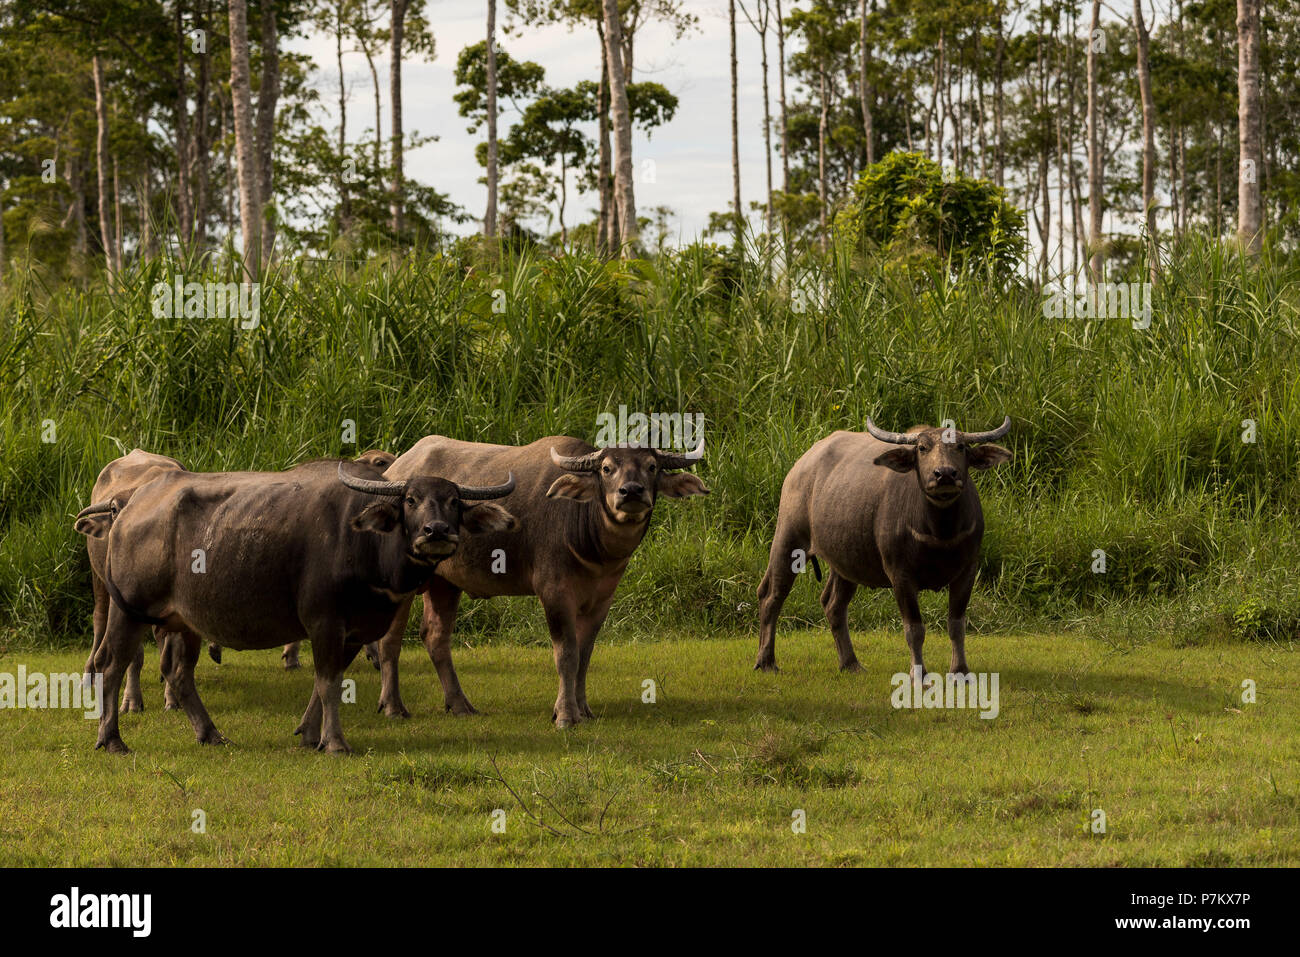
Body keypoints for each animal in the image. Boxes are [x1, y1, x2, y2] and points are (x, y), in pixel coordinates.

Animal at [73, 462, 514, 754]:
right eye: (411, 499)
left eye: (454, 501)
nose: (436, 532)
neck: (366, 543)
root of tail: (129, 505)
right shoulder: (324, 622)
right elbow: (330, 683)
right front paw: (335, 742)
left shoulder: (353, 632)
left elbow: (324, 684)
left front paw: (309, 733)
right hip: (127, 608)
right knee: (112, 664)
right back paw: (111, 739)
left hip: (185, 622)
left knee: (179, 674)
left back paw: (211, 734)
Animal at [371, 436, 707, 728]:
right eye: (607, 468)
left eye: (651, 466)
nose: (631, 491)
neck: (592, 542)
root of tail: (396, 470)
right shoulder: (554, 593)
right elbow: (567, 654)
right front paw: (565, 715)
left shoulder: (602, 600)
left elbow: (585, 654)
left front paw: (583, 709)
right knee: (390, 640)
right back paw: (393, 707)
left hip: (444, 582)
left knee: (435, 636)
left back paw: (460, 705)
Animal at [754, 418, 1013, 681]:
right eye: (922, 448)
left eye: (960, 446)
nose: (945, 474)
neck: (939, 533)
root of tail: (801, 465)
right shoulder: (900, 575)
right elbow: (914, 629)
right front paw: (918, 674)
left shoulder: (967, 571)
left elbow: (957, 626)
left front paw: (960, 671)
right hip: (788, 538)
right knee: (771, 595)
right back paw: (766, 662)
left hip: (846, 561)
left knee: (833, 604)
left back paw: (850, 663)